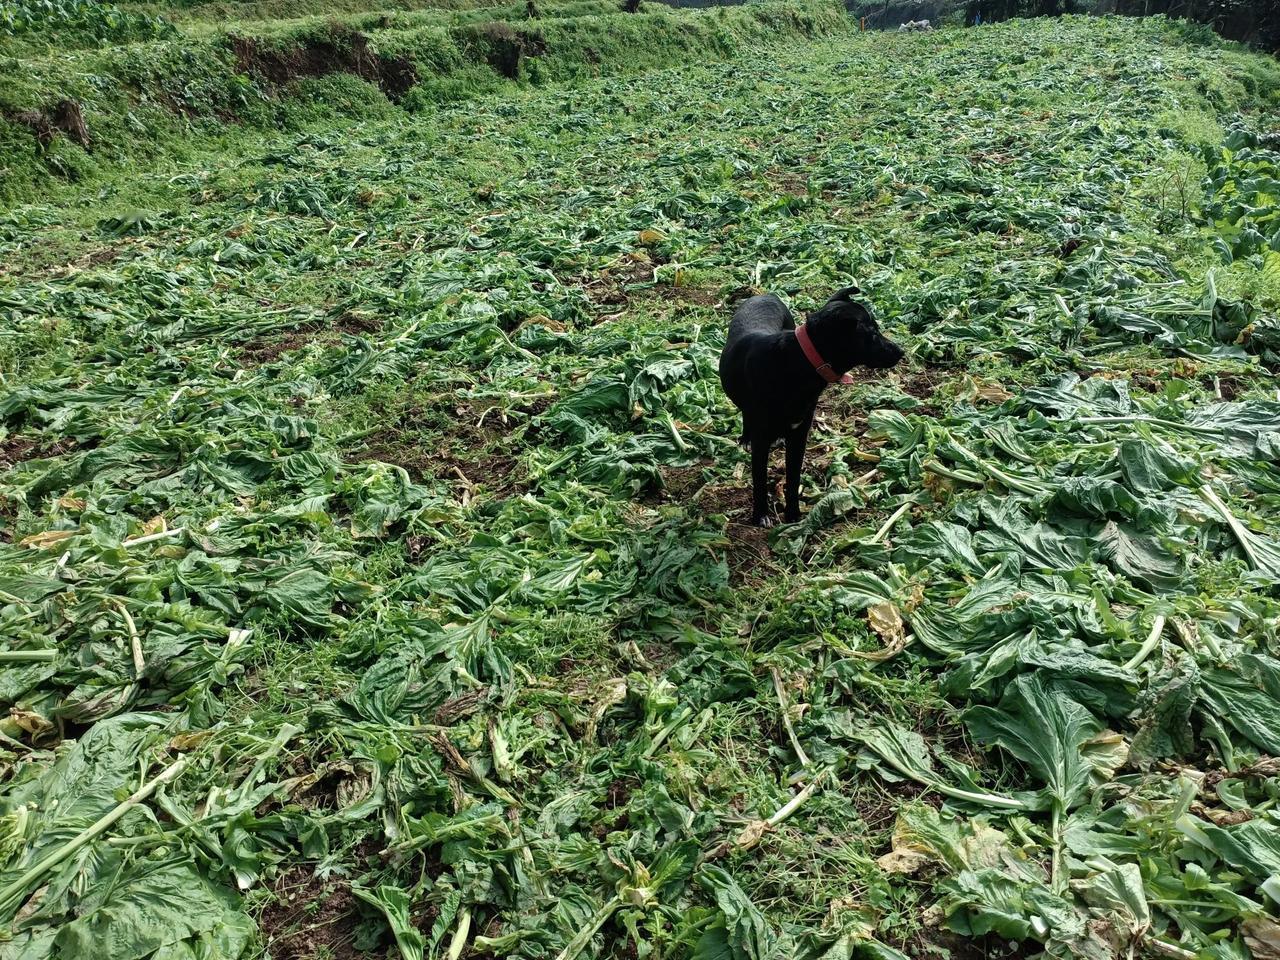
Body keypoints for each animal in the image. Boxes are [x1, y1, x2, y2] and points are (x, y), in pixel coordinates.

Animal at [716, 288, 906, 527]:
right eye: (872, 334)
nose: (901, 351)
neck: (796, 362)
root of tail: (766, 294)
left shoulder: (799, 434)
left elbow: (793, 477)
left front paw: (793, 516)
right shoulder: (762, 441)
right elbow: (759, 480)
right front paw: (760, 515)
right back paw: (745, 437)